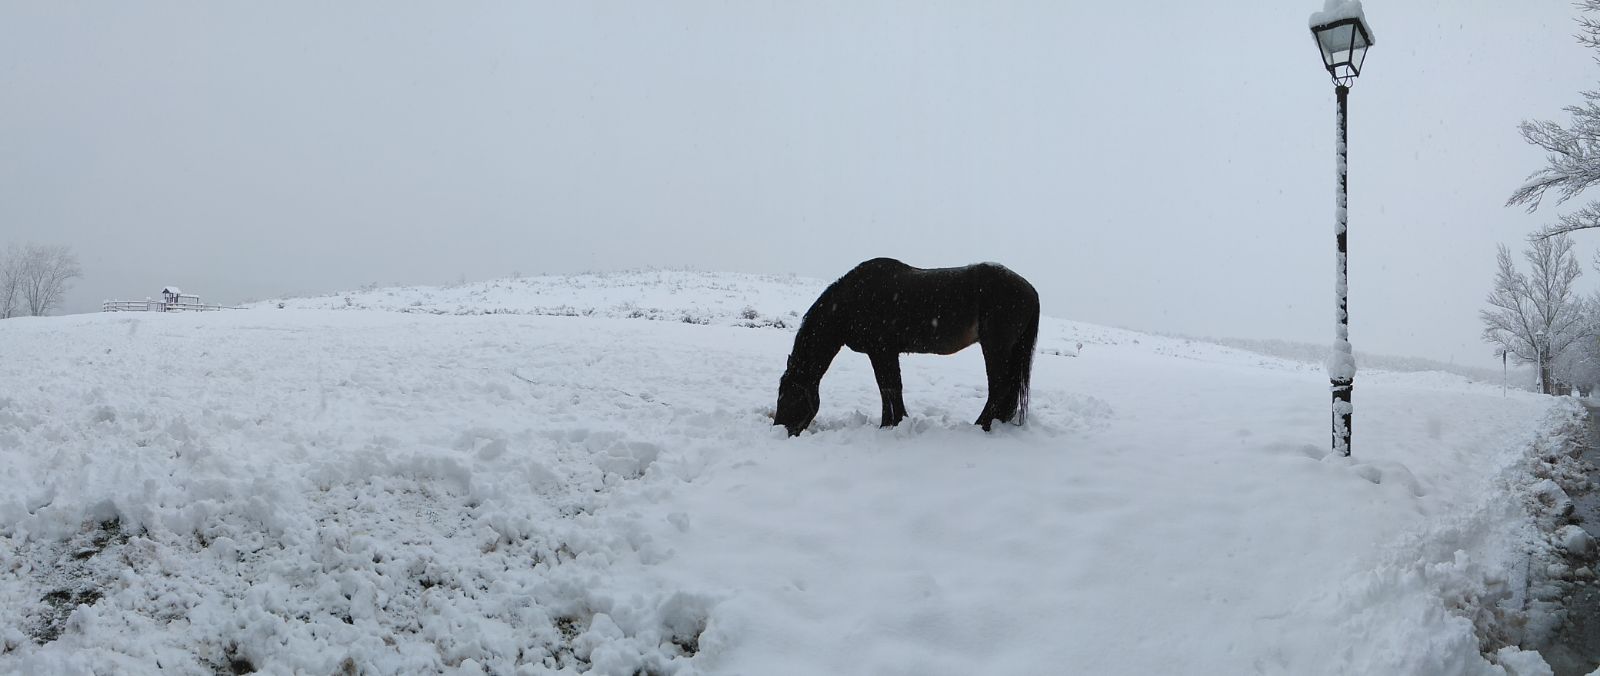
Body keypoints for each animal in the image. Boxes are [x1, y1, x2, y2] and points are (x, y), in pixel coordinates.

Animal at [771, 256, 1036, 435]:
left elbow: (889, 387)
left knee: (999, 388)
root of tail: (1031, 291)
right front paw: (892, 422)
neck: (850, 303)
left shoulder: (881, 351)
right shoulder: (885, 353)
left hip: (995, 347)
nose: (779, 429)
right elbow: (889, 388)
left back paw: (981, 425)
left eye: (788, 395)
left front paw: (890, 424)